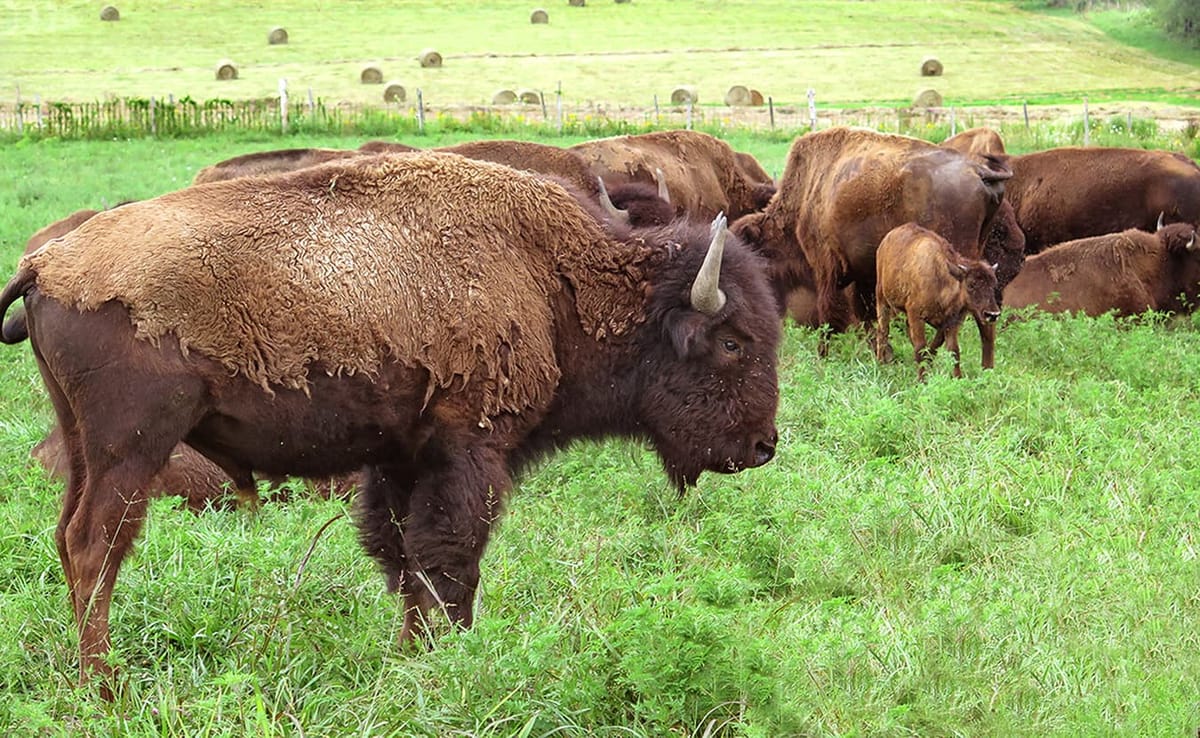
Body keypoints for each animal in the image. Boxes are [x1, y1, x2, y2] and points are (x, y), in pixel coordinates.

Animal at [0, 152, 781, 696]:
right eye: (733, 342)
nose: (763, 445)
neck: (551, 278)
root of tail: (46, 263)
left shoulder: (402, 458)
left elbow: (403, 555)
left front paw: (409, 657)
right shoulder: (467, 450)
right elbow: (450, 559)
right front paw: (453, 656)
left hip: (84, 444)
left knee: (69, 538)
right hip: (132, 447)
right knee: (97, 544)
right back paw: (105, 687)